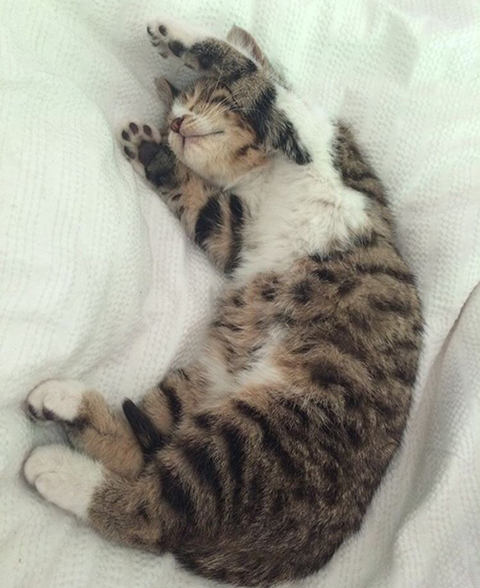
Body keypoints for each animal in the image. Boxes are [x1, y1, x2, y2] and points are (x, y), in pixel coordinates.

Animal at [24, 17, 423, 587]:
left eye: (204, 98)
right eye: (173, 111)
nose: (176, 123)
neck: (263, 176)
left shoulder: (320, 147)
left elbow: (263, 82)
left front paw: (182, 36)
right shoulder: (235, 232)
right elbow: (202, 206)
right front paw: (152, 152)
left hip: (258, 434)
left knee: (154, 517)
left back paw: (57, 468)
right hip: (214, 395)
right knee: (146, 462)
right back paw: (63, 404)